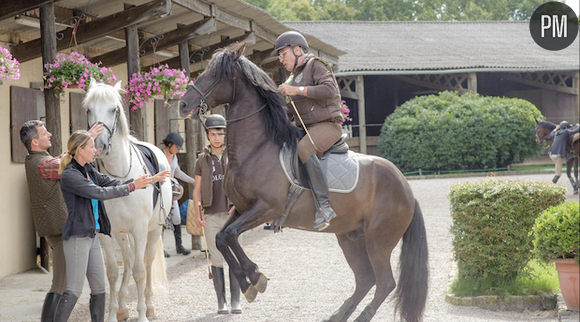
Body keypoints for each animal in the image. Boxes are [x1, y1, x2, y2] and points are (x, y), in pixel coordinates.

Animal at [82, 78, 172, 322]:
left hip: (153, 230)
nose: (99, 146)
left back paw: (149, 306)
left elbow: (140, 272)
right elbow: (113, 272)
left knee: (146, 262)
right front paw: (113, 313)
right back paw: (123, 307)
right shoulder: (105, 232)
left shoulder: (139, 229)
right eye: (88, 109)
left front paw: (141, 314)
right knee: (129, 260)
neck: (118, 178)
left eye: (114, 109)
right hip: (121, 234)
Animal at [179, 43, 428, 322]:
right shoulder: (243, 209)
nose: (183, 104)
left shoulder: (267, 208)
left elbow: (231, 235)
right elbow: (223, 238)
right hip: (350, 237)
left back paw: (359, 316)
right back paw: (338, 315)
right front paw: (248, 283)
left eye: (215, 74)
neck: (256, 147)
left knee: (385, 282)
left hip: (378, 241)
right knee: (366, 279)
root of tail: (406, 188)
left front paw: (255, 276)